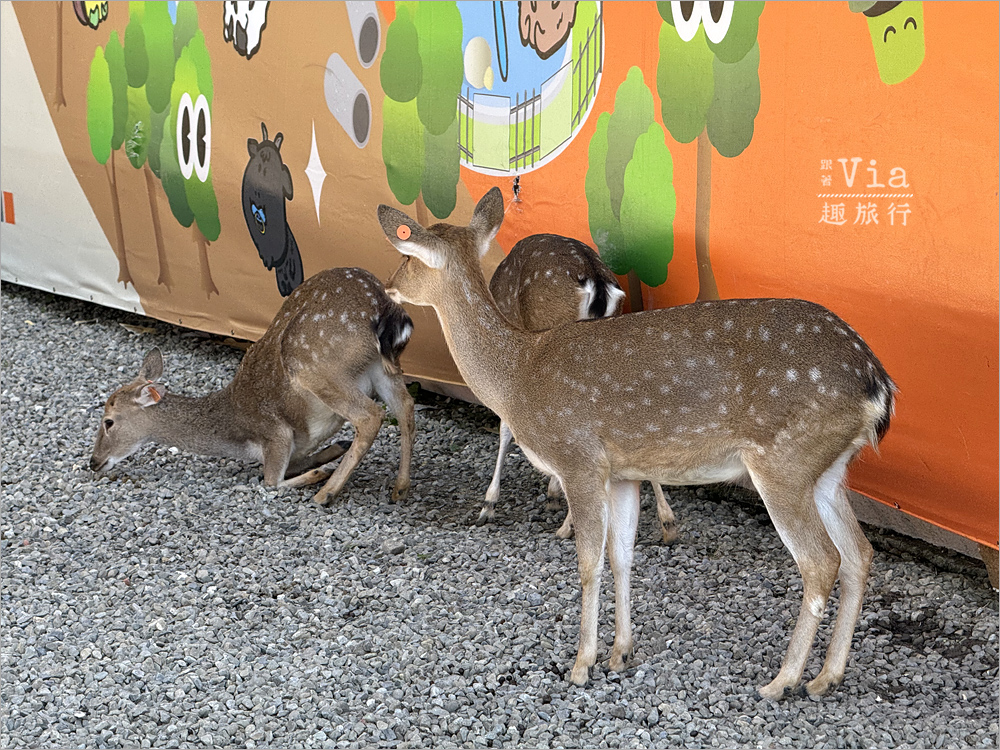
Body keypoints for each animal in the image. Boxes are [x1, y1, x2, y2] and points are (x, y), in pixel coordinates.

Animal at [88, 268, 412, 508]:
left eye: (108, 422)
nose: (93, 462)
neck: (235, 432)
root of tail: (383, 305)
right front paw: (333, 451)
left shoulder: (276, 434)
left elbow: (270, 483)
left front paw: (321, 471)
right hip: (382, 367)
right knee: (405, 407)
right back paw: (399, 488)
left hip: (318, 366)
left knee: (370, 416)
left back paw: (326, 493)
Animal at [484, 232, 680, 544]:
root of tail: (596, 280)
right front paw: (552, 492)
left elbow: (505, 425)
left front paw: (489, 503)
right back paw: (668, 523)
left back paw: (568, 525)